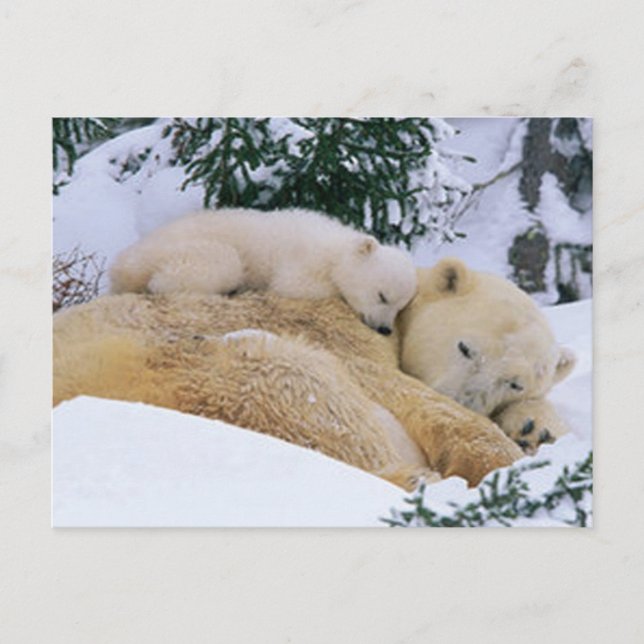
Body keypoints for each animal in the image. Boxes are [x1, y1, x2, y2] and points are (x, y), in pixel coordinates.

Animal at [109, 208, 417, 336]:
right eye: (382, 295)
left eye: (401, 306)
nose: (385, 329)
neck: (335, 249)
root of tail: (122, 263)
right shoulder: (301, 261)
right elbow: (294, 285)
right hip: (187, 251)